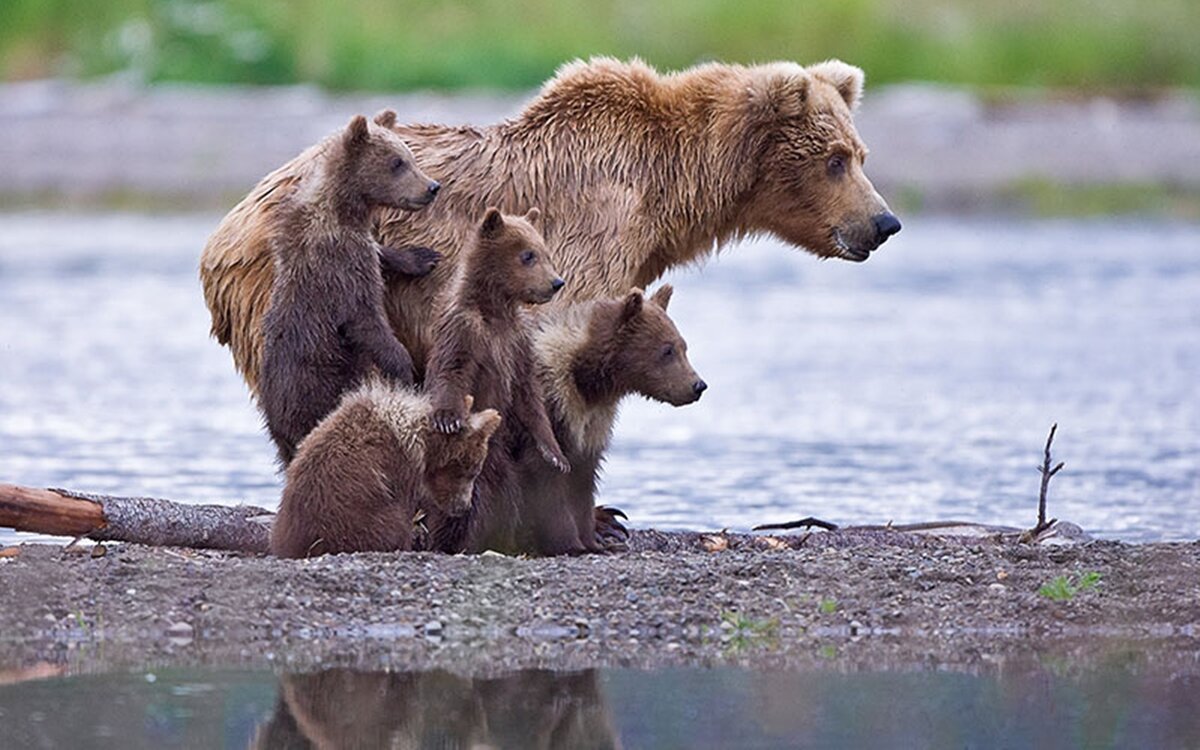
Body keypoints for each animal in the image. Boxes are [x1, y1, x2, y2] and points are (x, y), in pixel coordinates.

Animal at [199, 57, 902, 391]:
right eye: (834, 160)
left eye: (860, 153)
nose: (885, 221)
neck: (670, 181)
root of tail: (222, 231)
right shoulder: (593, 233)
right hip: (304, 286)